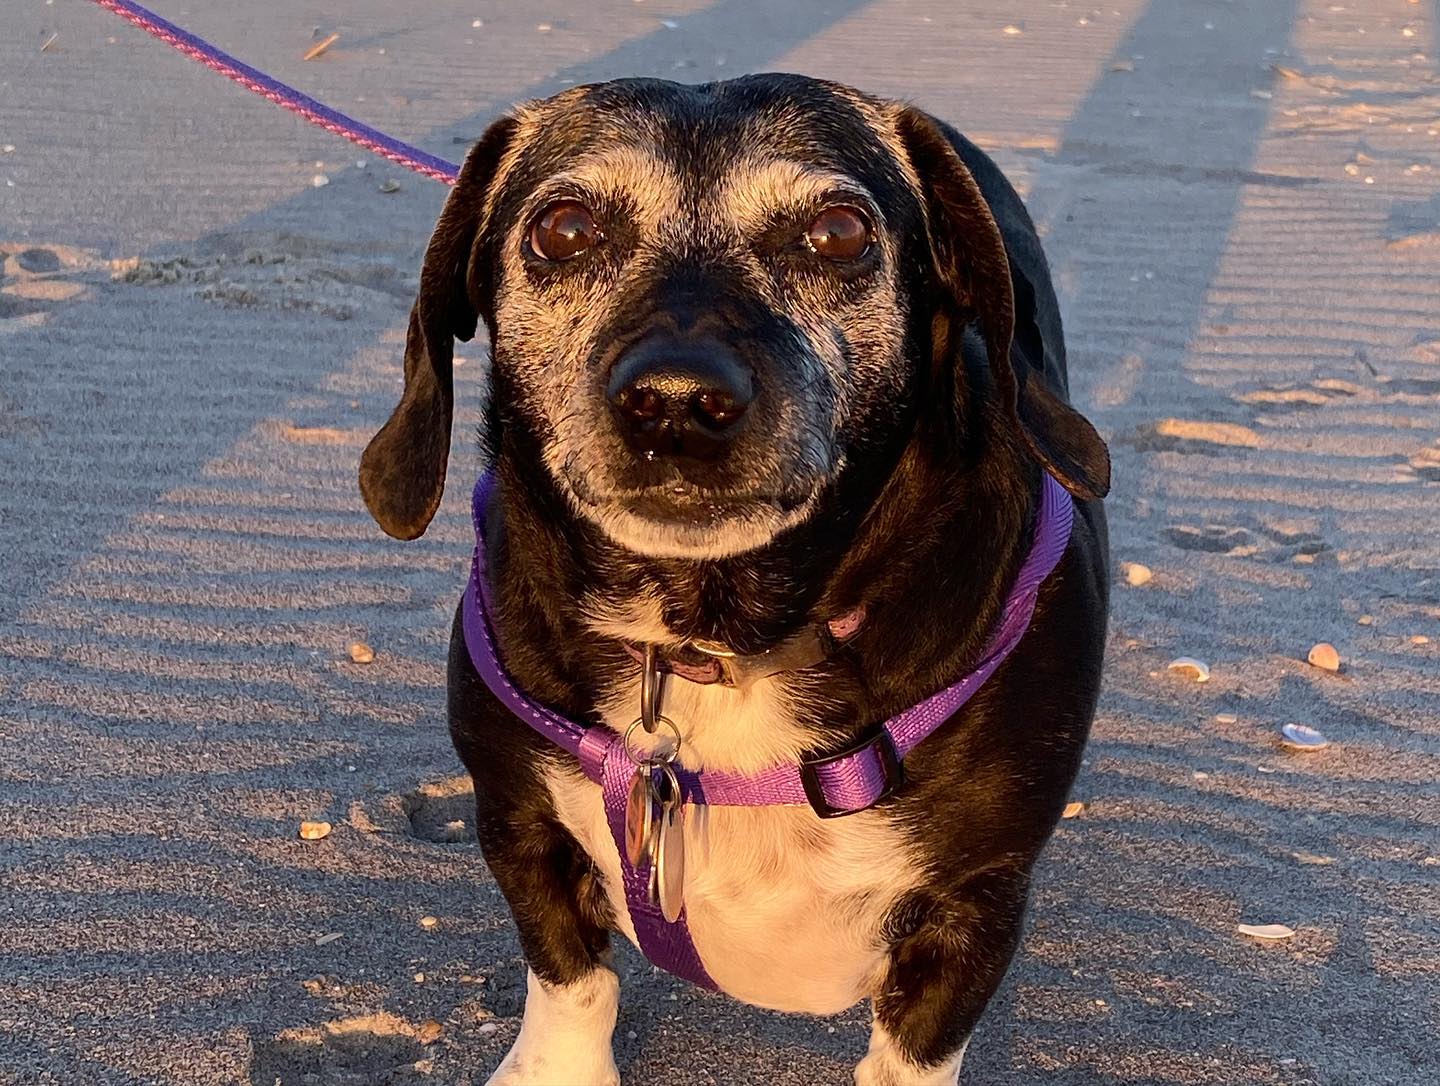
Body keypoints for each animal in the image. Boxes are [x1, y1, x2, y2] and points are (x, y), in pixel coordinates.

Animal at [360, 74, 1110, 1085]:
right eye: (563, 228)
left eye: (840, 231)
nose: (676, 403)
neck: (711, 636)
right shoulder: (519, 823)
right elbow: (572, 979)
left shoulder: (974, 902)